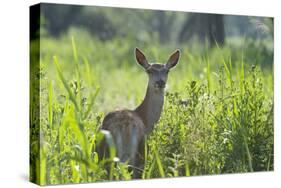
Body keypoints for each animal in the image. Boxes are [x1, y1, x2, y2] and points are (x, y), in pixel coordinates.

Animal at [97, 47, 179, 178]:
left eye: (167, 71)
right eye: (149, 71)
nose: (160, 82)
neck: (145, 118)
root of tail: (124, 126)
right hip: (137, 152)